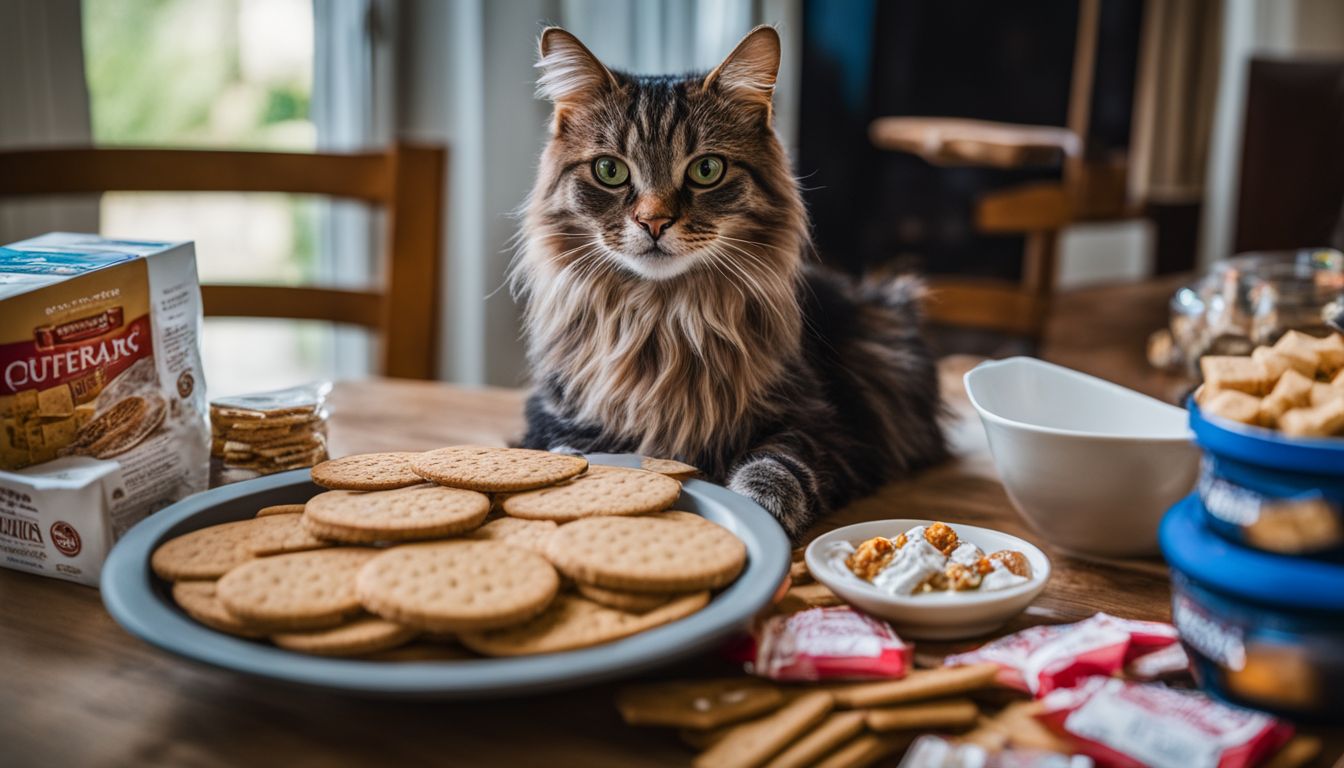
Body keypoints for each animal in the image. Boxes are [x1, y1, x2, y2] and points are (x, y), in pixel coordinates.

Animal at [510, 27, 946, 538]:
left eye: (706, 170)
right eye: (610, 170)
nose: (653, 222)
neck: (663, 322)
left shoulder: (826, 426)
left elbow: (779, 463)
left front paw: (758, 508)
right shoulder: (550, 416)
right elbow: (565, 451)